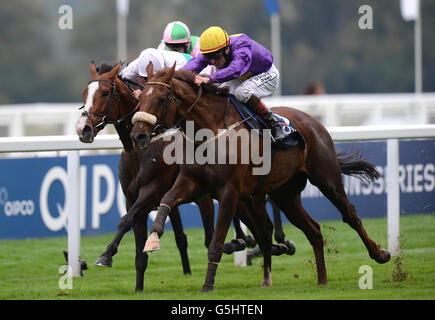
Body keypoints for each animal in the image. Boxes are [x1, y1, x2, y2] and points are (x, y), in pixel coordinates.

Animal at [130, 63, 392, 292]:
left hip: (326, 178)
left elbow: (216, 243)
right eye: (140, 98)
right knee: (312, 231)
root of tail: (313, 121)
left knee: (350, 214)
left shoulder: (229, 193)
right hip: (284, 195)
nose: (138, 136)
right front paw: (153, 238)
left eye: (161, 98)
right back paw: (320, 280)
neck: (210, 131)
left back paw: (379, 254)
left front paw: (207, 285)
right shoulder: (192, 184)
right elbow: (166, 199)